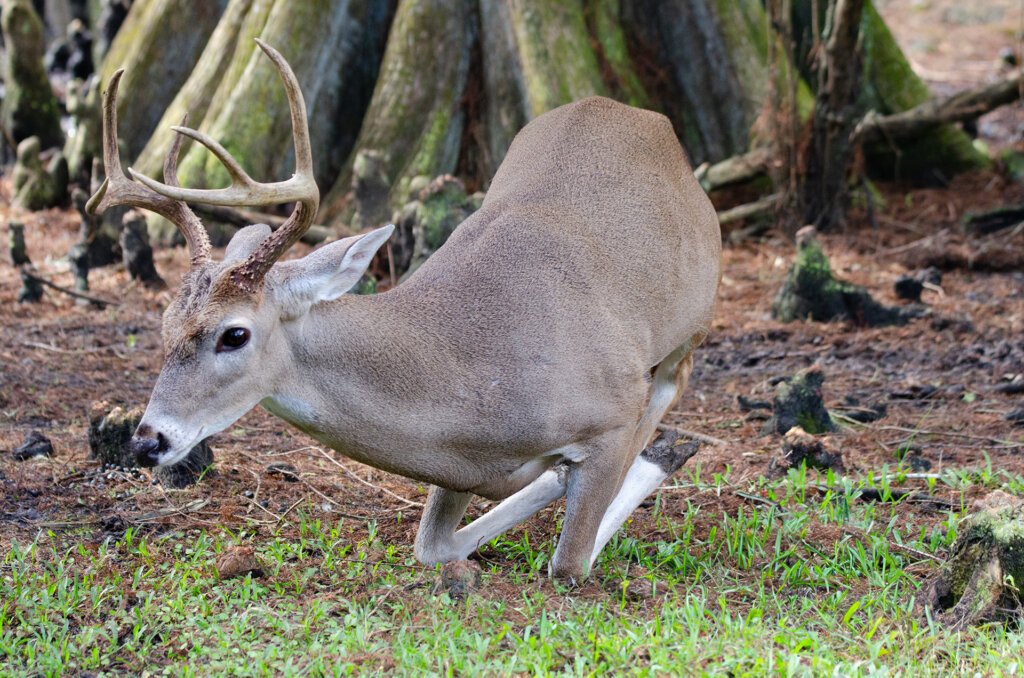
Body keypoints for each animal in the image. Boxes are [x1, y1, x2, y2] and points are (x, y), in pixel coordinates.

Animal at [90, 39, 720, 581]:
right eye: (165, 325)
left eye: (234, 334)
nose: (147, 442)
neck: (475, 375)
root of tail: (637, 112)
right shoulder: (460, 463)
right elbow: (432, 546)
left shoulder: (613, 407)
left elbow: (570, 562)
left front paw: (637, 461)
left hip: (690, 313)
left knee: (676, 376)